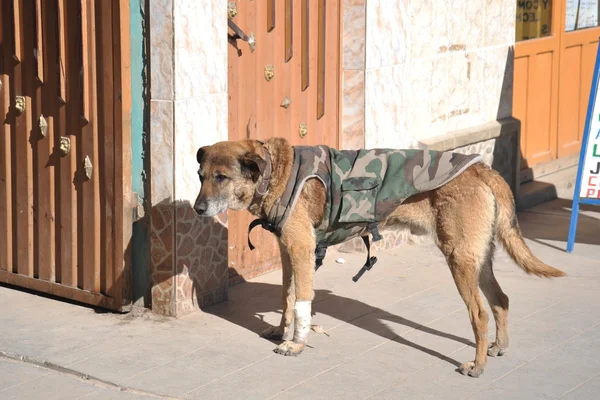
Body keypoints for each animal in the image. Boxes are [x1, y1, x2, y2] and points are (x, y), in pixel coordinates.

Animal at [195, 138, 564, 378]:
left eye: (222, 177)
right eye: (201, 176)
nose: (198, 209)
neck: (277, 171)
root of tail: (483, 169)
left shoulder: (301, 249)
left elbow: (302, 301)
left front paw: (296, 345)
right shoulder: (289, 253)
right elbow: (287, 296)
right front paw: (280, 330)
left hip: (459, 260)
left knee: (480, 313)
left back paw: (478, 365)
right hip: (479, 258)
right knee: (501, 299)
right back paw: (498, 347)